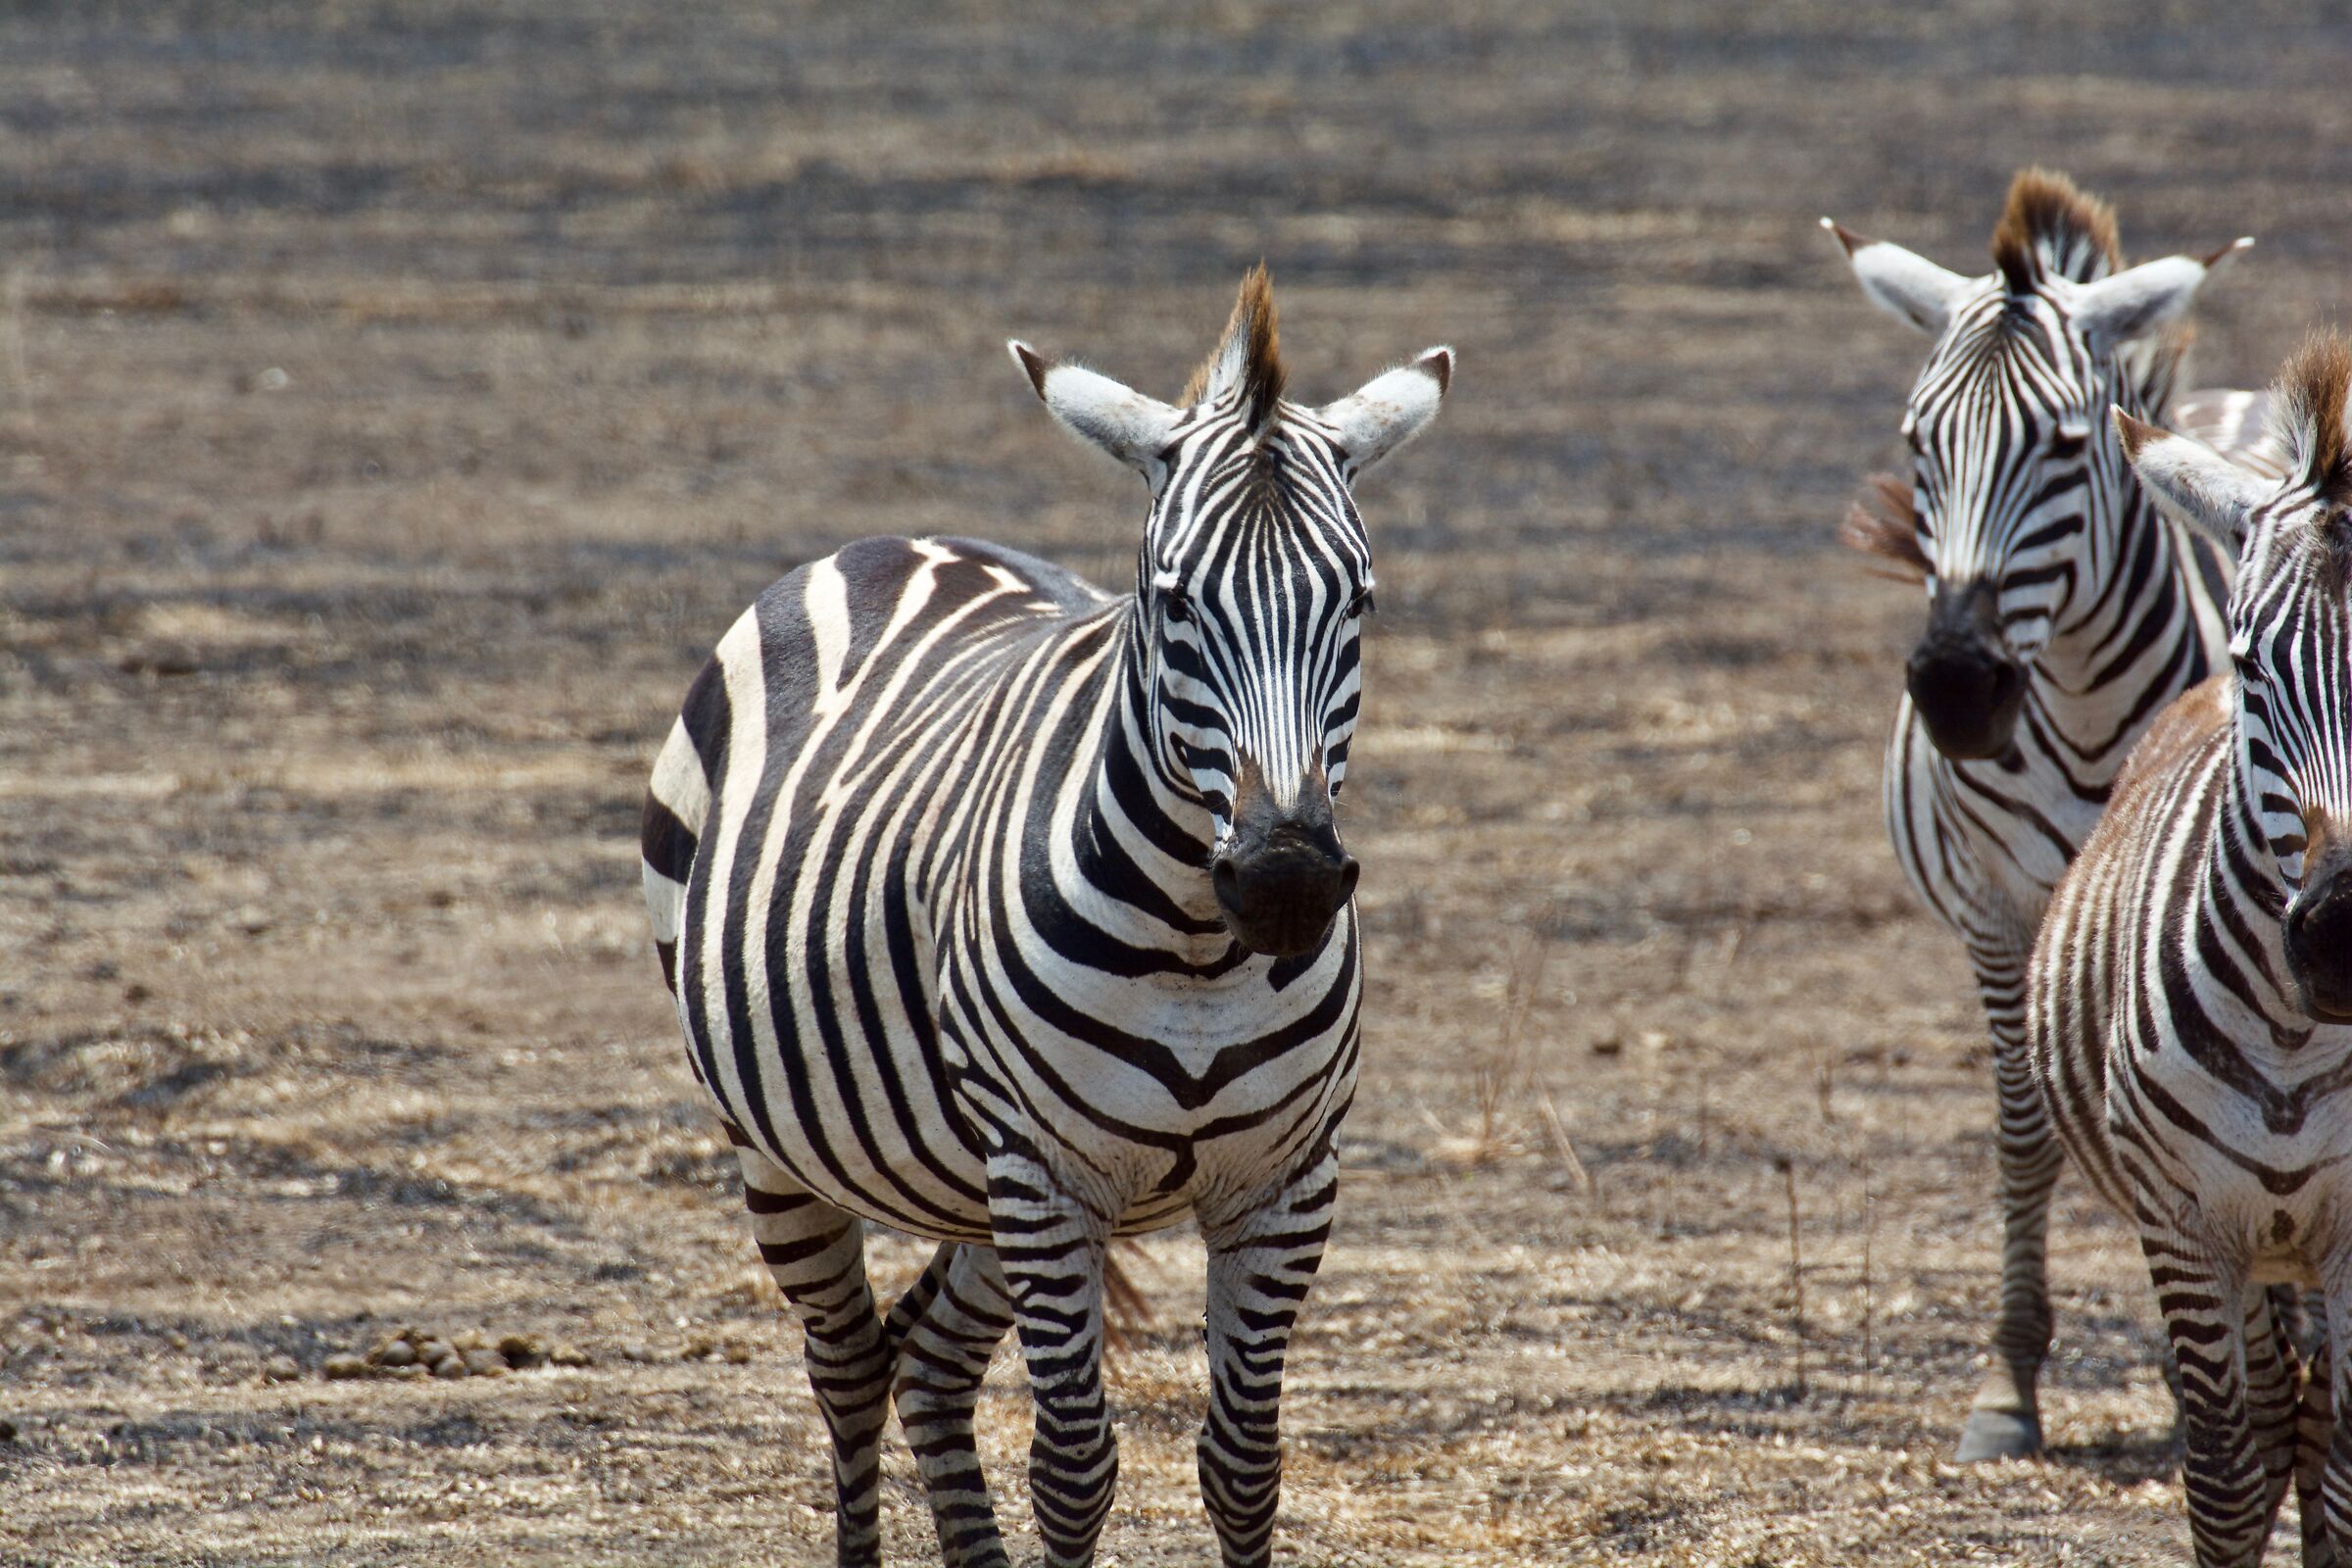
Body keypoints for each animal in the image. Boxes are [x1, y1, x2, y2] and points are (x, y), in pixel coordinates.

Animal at [640, 266, 1451, 1567]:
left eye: (1360, 602)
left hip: (970, 1177)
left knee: (926, 1362)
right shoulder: (1048, 1173)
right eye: (1174, 605)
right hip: (783, 1146)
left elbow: (1244, 1466)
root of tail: (895, 541)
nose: (1285, 881)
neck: (1198, 948)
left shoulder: (1284, 1184)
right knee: (848, 1368)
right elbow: (1073, 1468)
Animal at [1824, 168, 2249, 1460]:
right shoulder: (1998, 907)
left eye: (2064, 445)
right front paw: (2008, 1381)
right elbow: (2025, 1135)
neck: (2085, 707)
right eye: (1919, 442)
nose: (1960, 688)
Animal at [2032, 334, 2352, 1566]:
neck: (2303, 1043)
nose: (2344, 932)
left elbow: (2346, 1474)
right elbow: (2222, 1475)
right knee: (2274, 1419)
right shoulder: (2183, 1224)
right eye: (2258, 665)